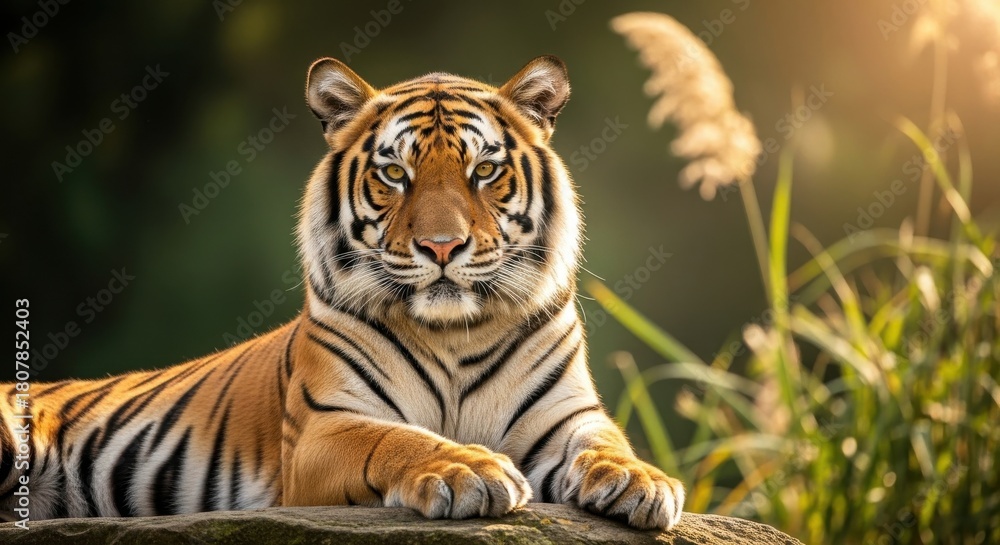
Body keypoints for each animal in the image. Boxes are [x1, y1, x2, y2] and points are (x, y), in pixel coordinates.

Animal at [0, 55, 685, 530]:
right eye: (394, 173)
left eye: (484, 170)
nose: (442, 247)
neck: (454, 334)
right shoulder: (323, 429)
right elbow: (397, 438)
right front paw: (467, 467)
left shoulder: (568, 417)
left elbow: (607, 444)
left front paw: (641, 482)